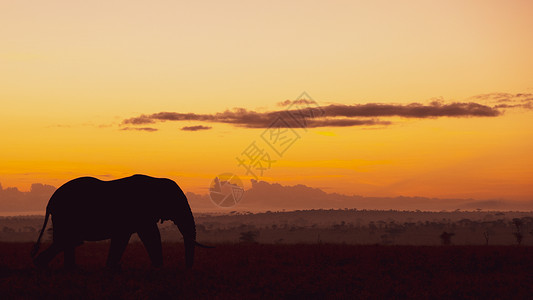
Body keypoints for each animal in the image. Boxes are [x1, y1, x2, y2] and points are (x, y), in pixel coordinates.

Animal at [30, 173, 210, 270]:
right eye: (175, 203)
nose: (187, 268)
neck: (156, 180)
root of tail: (49, 202)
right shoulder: (139, 212)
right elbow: (150, 235)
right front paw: (159, 268)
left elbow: (123, 237)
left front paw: (112, 267)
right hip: (65, 216)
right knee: (67, 241)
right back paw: (45, 266)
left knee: (68, 242)